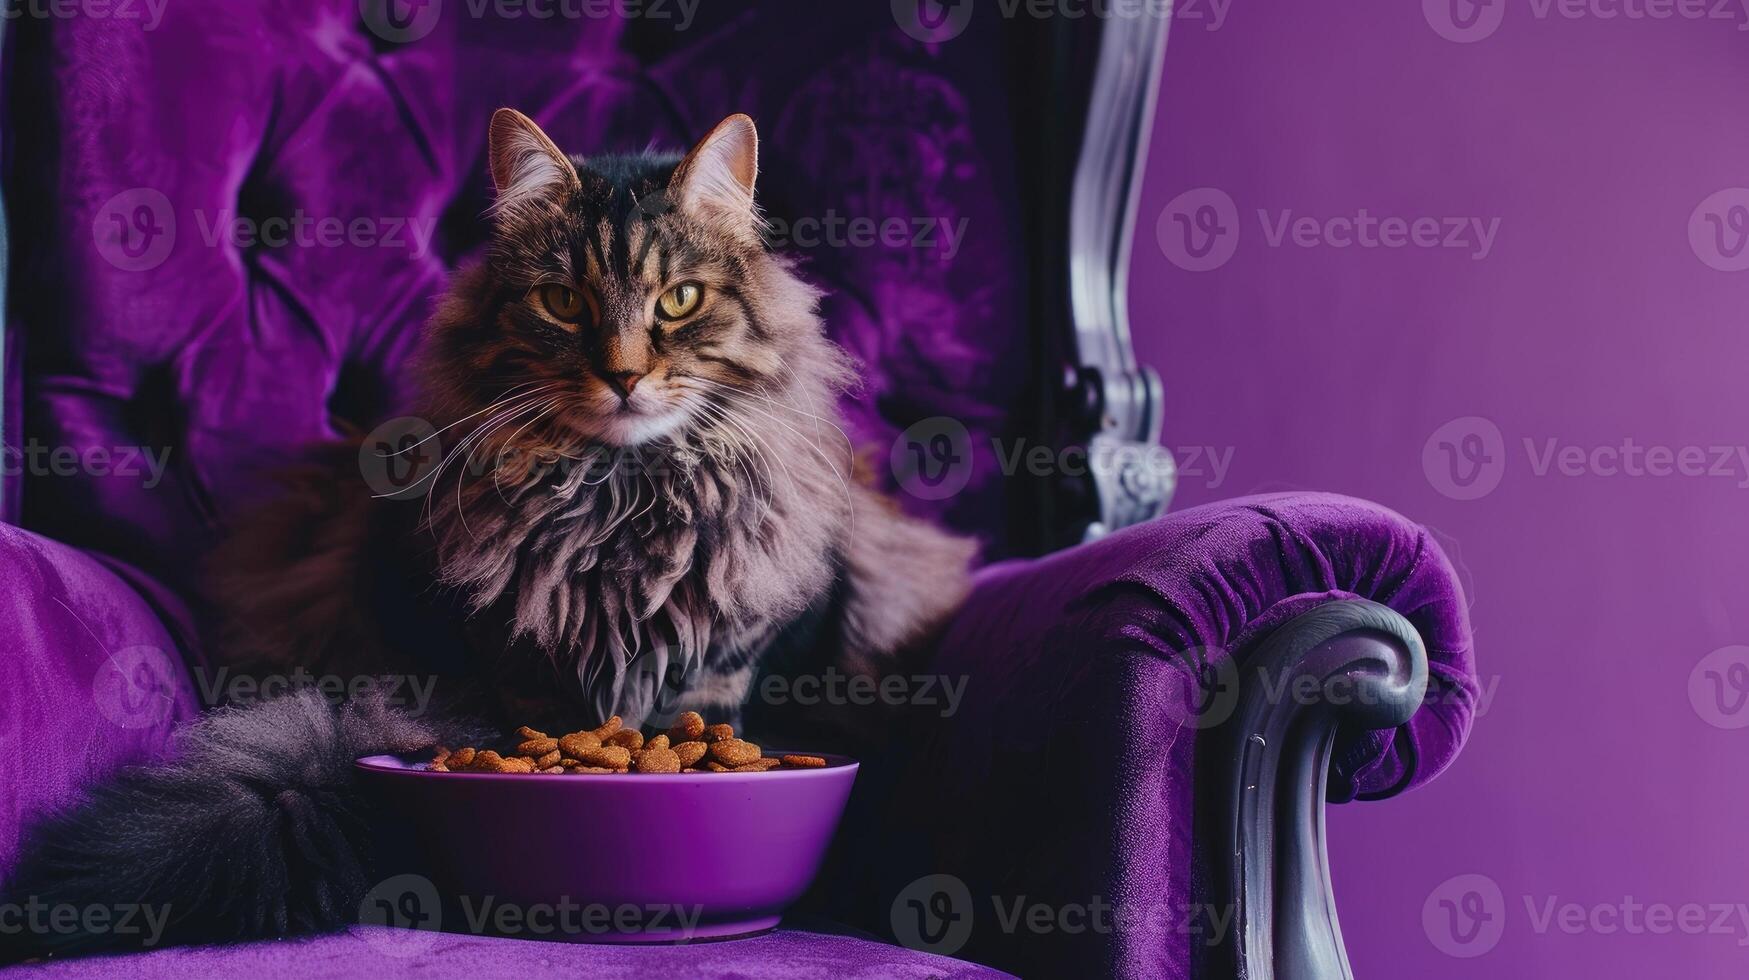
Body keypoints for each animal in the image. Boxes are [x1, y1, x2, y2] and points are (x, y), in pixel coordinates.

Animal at [0, 108, 979, 959]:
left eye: (678, 300)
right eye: (562, 302)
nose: (624, 376)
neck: (618, 504)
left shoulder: (722, 666)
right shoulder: (517, 670)